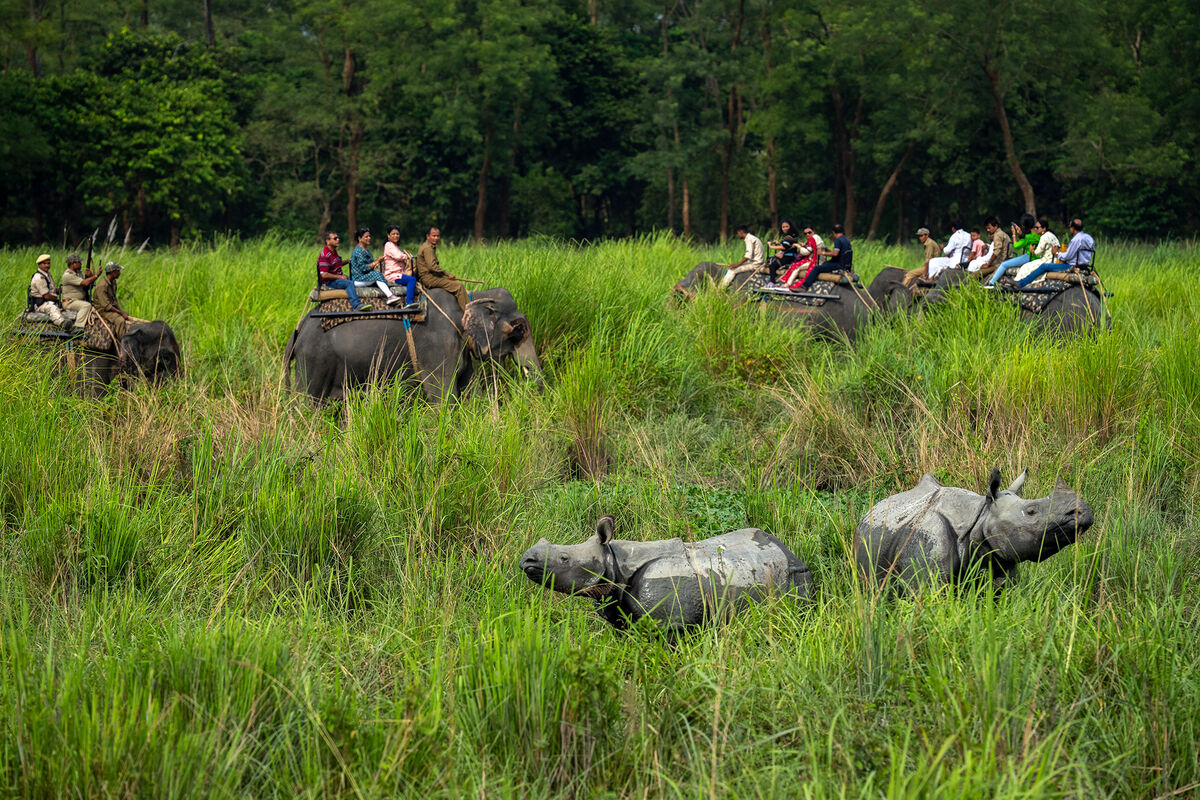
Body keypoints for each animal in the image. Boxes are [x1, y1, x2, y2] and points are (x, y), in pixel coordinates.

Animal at [285, 284, 540, 402]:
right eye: (519, 331)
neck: (470, 297)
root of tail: (298, 330)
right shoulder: (439, 346)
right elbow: (442, 395)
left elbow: (468, 391)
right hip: (314, 361)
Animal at [518, 515, 816, 633]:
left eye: (564, 558)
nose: (526, 560)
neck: (614, 560)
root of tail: (791, 553)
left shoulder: (669, 623)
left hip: (795, 578)